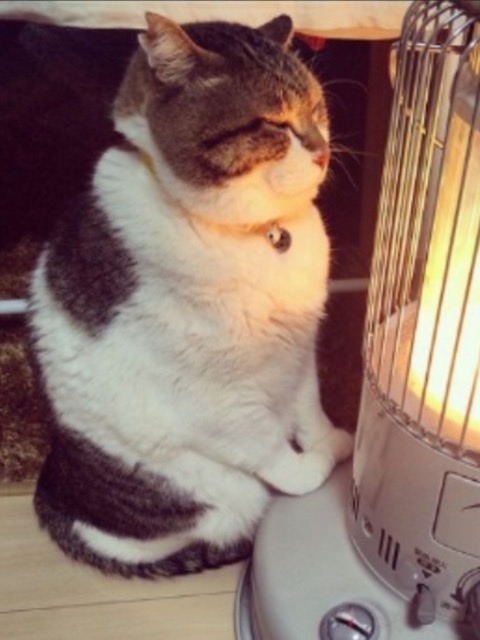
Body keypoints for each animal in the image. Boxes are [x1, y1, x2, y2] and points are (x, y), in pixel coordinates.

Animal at [28, 12, 353, 578]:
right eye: (275, 123)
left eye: (317, 110)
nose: (323, 150)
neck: (262, 236)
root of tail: (53, 493)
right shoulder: (218, 396)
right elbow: (272, 453)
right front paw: (314, 466)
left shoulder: (300, 353)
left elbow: (309, 408)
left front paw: (331, 440)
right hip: (216, 489)